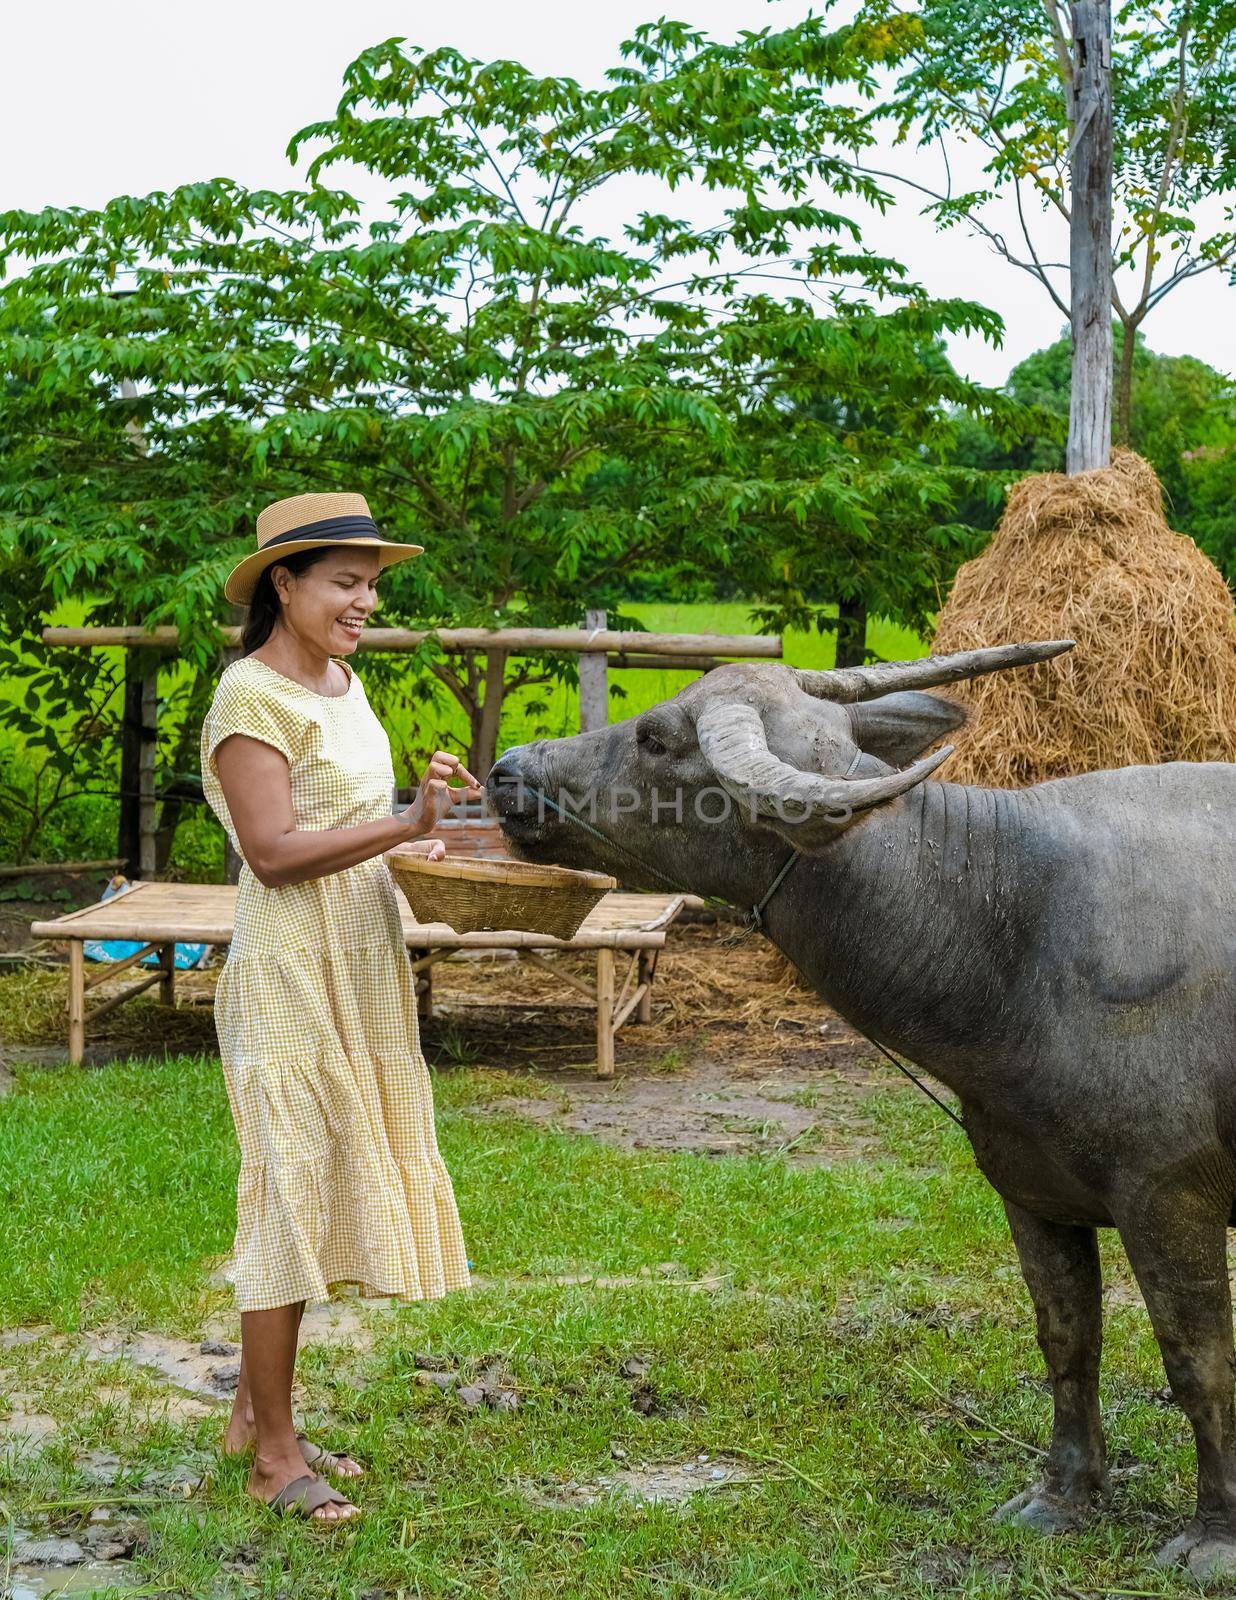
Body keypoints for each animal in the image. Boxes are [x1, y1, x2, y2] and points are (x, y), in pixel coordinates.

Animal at [486, 640, 1236, 1574]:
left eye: (658, 737)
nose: (508, 770)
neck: (1013, 921)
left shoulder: (1169, 1196)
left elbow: (1199, 1362)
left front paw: (1214, 1536)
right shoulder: (1030, 1189)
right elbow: (1067, 1339)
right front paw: (1061, 1497)